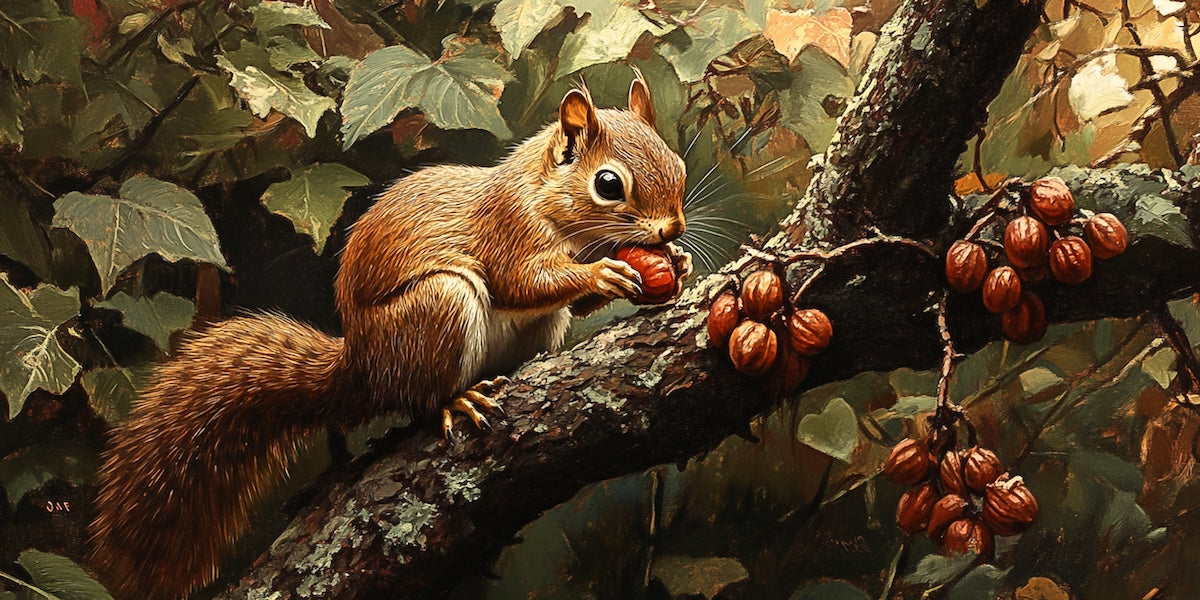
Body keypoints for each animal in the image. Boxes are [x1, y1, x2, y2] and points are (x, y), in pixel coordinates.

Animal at [87, 73, 690, 600]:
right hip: (437, 308)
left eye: (679, 165)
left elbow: (571, 301)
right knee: (419, 399)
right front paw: (604, 273)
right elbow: (521, 281)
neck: (545, 198)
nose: (673, 230)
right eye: (608, 184)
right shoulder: (507, 231)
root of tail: (361, 368)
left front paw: (673, 265)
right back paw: (457, 399)